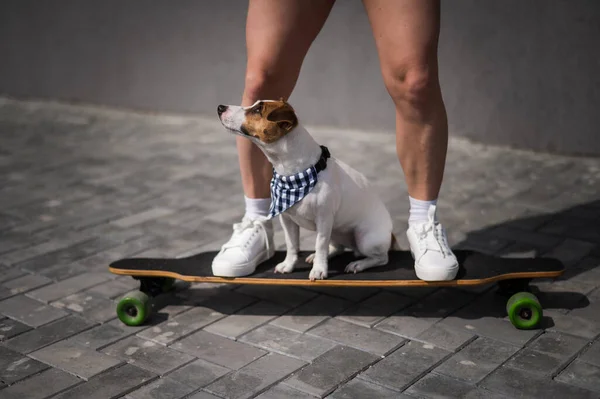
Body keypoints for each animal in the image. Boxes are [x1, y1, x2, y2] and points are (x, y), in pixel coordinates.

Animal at [217, 99, 398, 282]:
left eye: (258, 110)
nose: (220, 107)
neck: (295, 174)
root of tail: (391, 235)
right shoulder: (287, 219)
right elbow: (292, 245)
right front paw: (288, 265)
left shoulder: (324, 219)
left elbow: (320, 244)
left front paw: (319, 269)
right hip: (336, 231)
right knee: (337, 248)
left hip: (365, 238)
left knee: (381, 258)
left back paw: (359, 264)